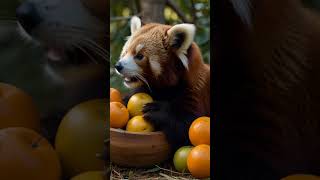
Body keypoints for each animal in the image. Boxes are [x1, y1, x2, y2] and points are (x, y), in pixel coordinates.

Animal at [115, 15, 210, 150]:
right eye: (125, 52)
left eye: (139, 56)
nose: (118, 66)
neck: (164, 89)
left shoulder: (195, 92)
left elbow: (188, 127)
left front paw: (158, 110)